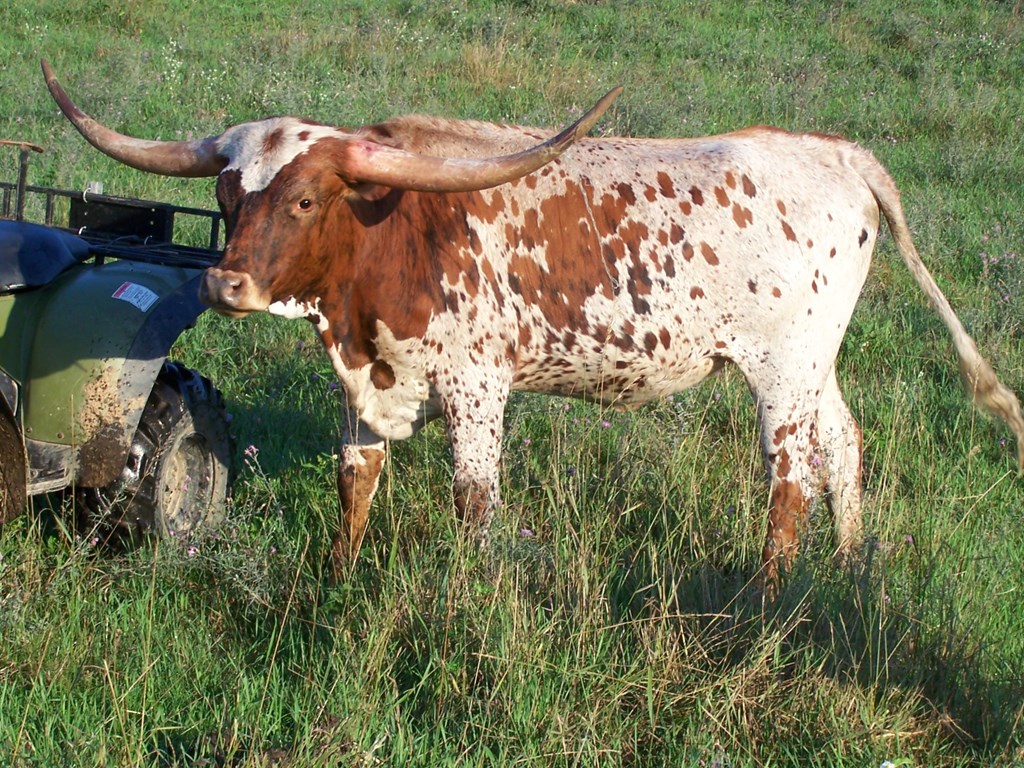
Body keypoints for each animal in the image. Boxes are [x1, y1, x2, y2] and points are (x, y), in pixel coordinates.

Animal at [42, 60, 1024, 587]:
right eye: (224, 194)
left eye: (308, 197)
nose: (225, 283)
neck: (395, 236)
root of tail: (837, 153)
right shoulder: (364, 379)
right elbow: (355, 482)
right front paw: (338, 578)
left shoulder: (478, 386)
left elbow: (474, 501)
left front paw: (467, 598)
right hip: (818, 364)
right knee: (845, 447)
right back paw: (849, 568)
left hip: (781, 370)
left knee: (792, 480)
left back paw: (770, 599)